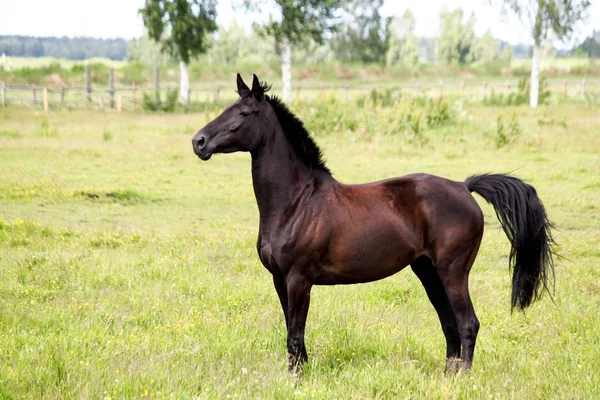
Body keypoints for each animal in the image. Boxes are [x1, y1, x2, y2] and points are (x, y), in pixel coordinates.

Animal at [190, 74, 556, 372]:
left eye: (243, 114)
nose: (199, 142)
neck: (296, 201)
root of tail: (464, 187)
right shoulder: (280, 280)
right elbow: (293, 332)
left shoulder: (298, 280)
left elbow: (295, 334)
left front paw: (296, 379)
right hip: (428, 272)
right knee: (450, 326)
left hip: (453, 273)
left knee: (468, 324)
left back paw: (462, 378)